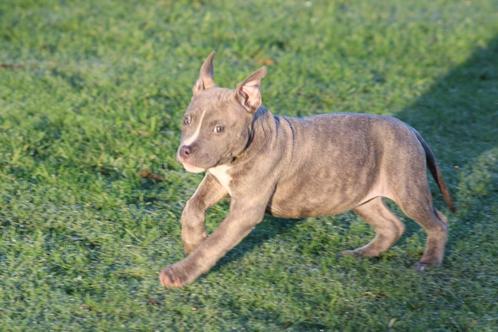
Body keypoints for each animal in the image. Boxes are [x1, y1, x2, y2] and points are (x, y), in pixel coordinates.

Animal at [160, 52, 456, 288]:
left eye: (219, 128)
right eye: (187, 120)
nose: (186, 150)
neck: (245, 147)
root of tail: (410, 129)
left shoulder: (245, 211)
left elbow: (215, 243)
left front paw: (180, 272)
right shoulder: (217, 179)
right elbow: (193, 206)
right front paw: (194, 240)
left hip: (407, 189)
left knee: (438, 221)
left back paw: (429, 261)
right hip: (362, 196)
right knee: (392, 226)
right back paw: (361, 254)